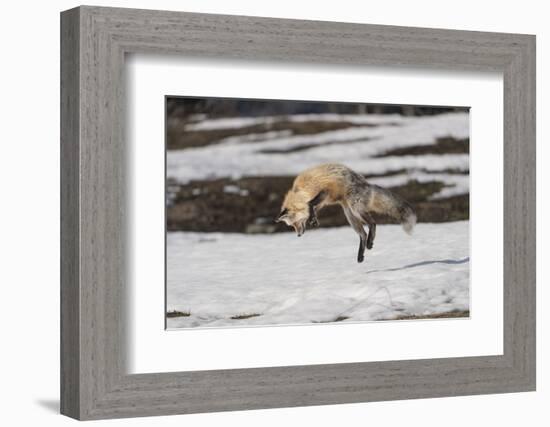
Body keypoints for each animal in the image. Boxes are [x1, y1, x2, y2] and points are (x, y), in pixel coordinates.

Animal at [278, 165, 416, 262]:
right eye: (292, 225)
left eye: (295, 223)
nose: (298, 235)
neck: (301, 192)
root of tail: (368, 185)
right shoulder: (322, 201)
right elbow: (313, 208)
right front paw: (313, 219)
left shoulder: (325, 191)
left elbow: (311, 204)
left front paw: (312, 216)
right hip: (349, 215)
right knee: (363, 234)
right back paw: (361, 255)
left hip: (355, 209)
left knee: (373, 223)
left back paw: (369, 242)